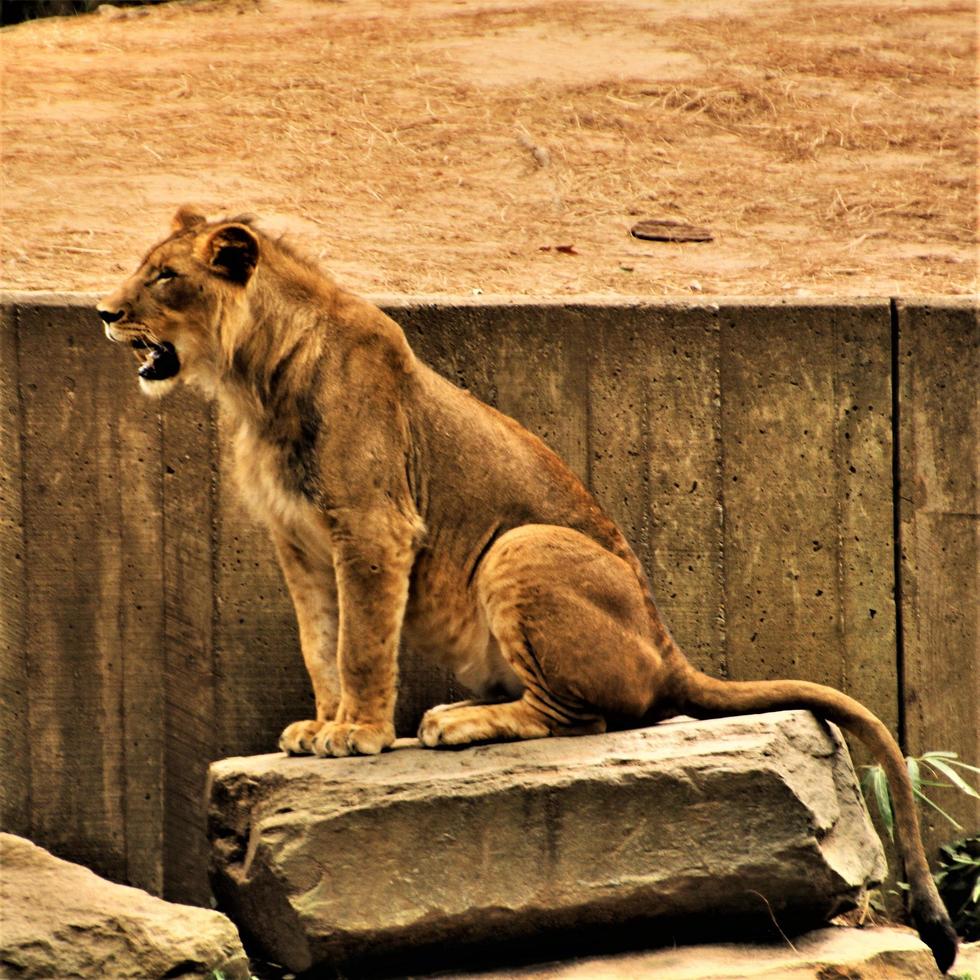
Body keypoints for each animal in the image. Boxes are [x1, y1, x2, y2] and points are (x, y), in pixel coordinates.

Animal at [97, 209, 956, 972]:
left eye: (166, 276)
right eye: (144, 268)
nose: (104, 313)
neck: (253, 383)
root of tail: (669, 648)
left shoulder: (375, 529)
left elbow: (363, 644)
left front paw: (360, 735)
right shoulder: (299, 544)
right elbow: (321, 645)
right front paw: (321, 726)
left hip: (519, 545)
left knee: (582, 718)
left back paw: (457, 723)